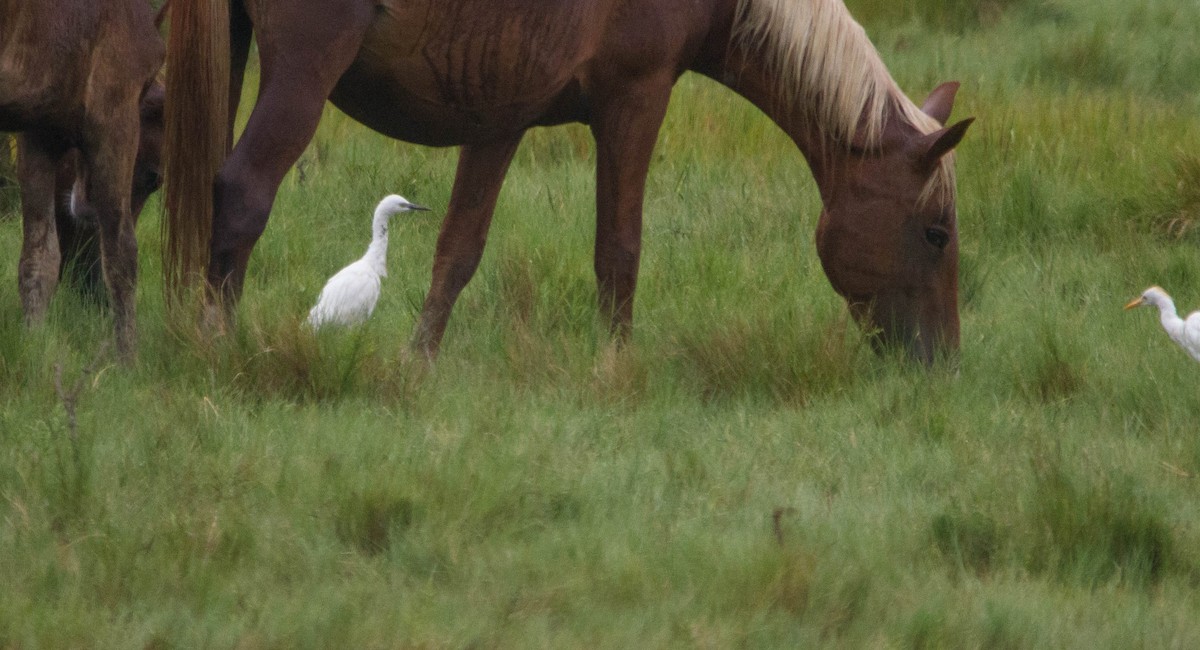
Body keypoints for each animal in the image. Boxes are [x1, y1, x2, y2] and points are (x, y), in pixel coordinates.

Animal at [1, 0, 163, 362]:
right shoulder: (114, 111)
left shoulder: (40, 131)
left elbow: (40, 258)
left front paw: (34, 347)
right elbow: (122, 256)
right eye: (153, 178)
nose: (87, 208)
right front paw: (128, 362)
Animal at [166, 0, 974, 364]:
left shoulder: (499, 118)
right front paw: (615, 368)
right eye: (936, 234)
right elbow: (619, 249)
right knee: (240, 196)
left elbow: (457, 250)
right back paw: (217, 346)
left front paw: (417, 365)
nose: (940, 365)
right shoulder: (636, 99)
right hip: (302, 69)